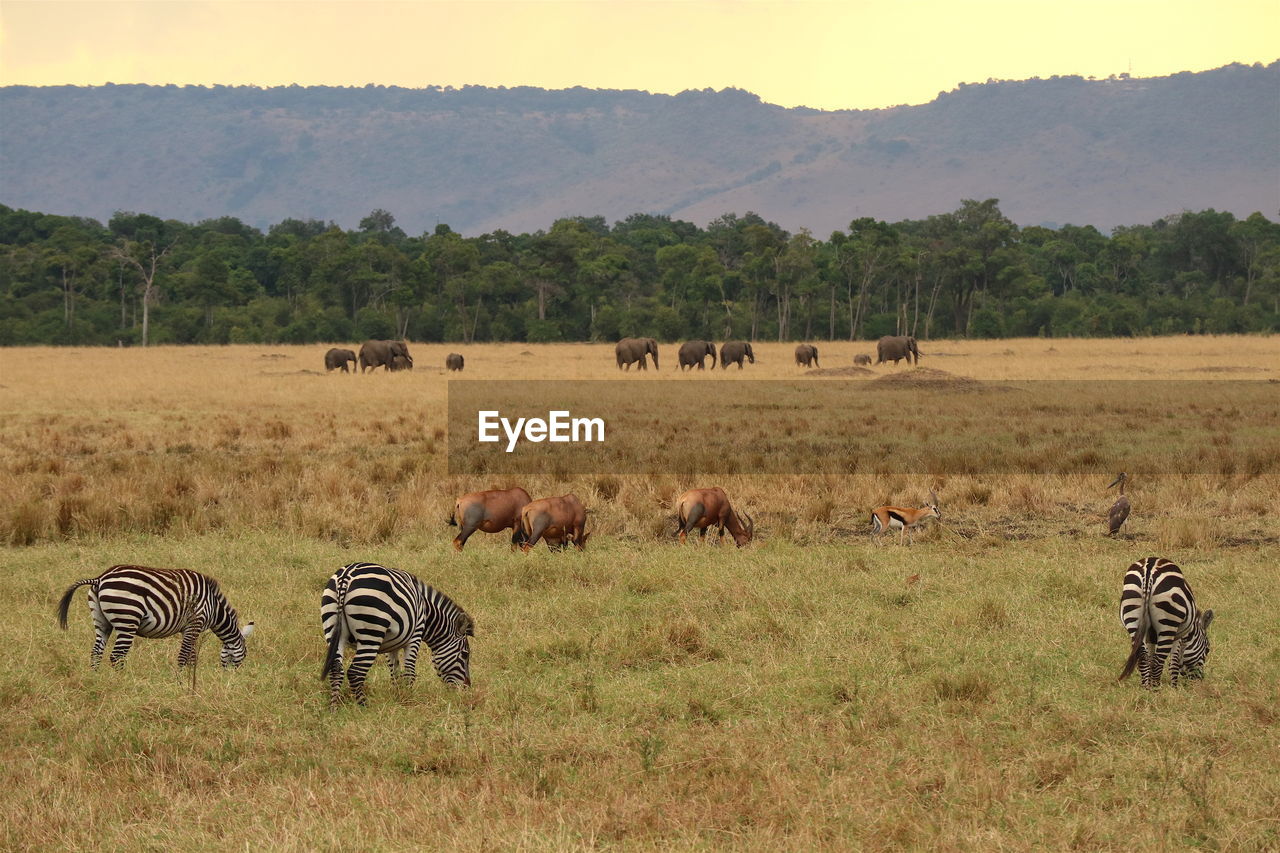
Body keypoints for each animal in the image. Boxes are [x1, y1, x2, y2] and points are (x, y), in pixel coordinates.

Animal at [56, 563, 254, 671]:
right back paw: (122, 682)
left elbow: (191, 657)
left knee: (96, 653)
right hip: (128, 619)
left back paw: (97, 678)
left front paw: (190, 677)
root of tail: (100, 578)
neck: (214, 607)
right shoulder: (195, 623)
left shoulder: (189, 628)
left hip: (102, 622)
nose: (229, 678)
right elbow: (184, 656)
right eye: (244, 656)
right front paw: (181, 682)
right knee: (117, 656)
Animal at [320, 558, 476, 701]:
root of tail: (345, 577)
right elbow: (409, 672)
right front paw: (409, 699)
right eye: (465, 654)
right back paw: (362, 706)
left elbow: (395, 671)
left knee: (336, 670)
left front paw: (398, 695)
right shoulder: (415, 636)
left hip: (332, 628)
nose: (466, 688)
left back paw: (335, 706)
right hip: (370, 633)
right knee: (355, 672)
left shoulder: (391, 644)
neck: (426, 611)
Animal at [1116, 555, 1213, 686]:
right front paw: (1174, 687)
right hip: (1168, 623)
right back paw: (1156, 689)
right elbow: (1174, 663)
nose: (1199, 679)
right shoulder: (1179, 635)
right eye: (1207, 649)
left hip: (1132, 616)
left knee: (1143, 658)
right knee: (1158, 661)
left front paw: (1149, 684)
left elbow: (1150, 658)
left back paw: (1146, 688)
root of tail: (1148, 572)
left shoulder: (1150, 636)